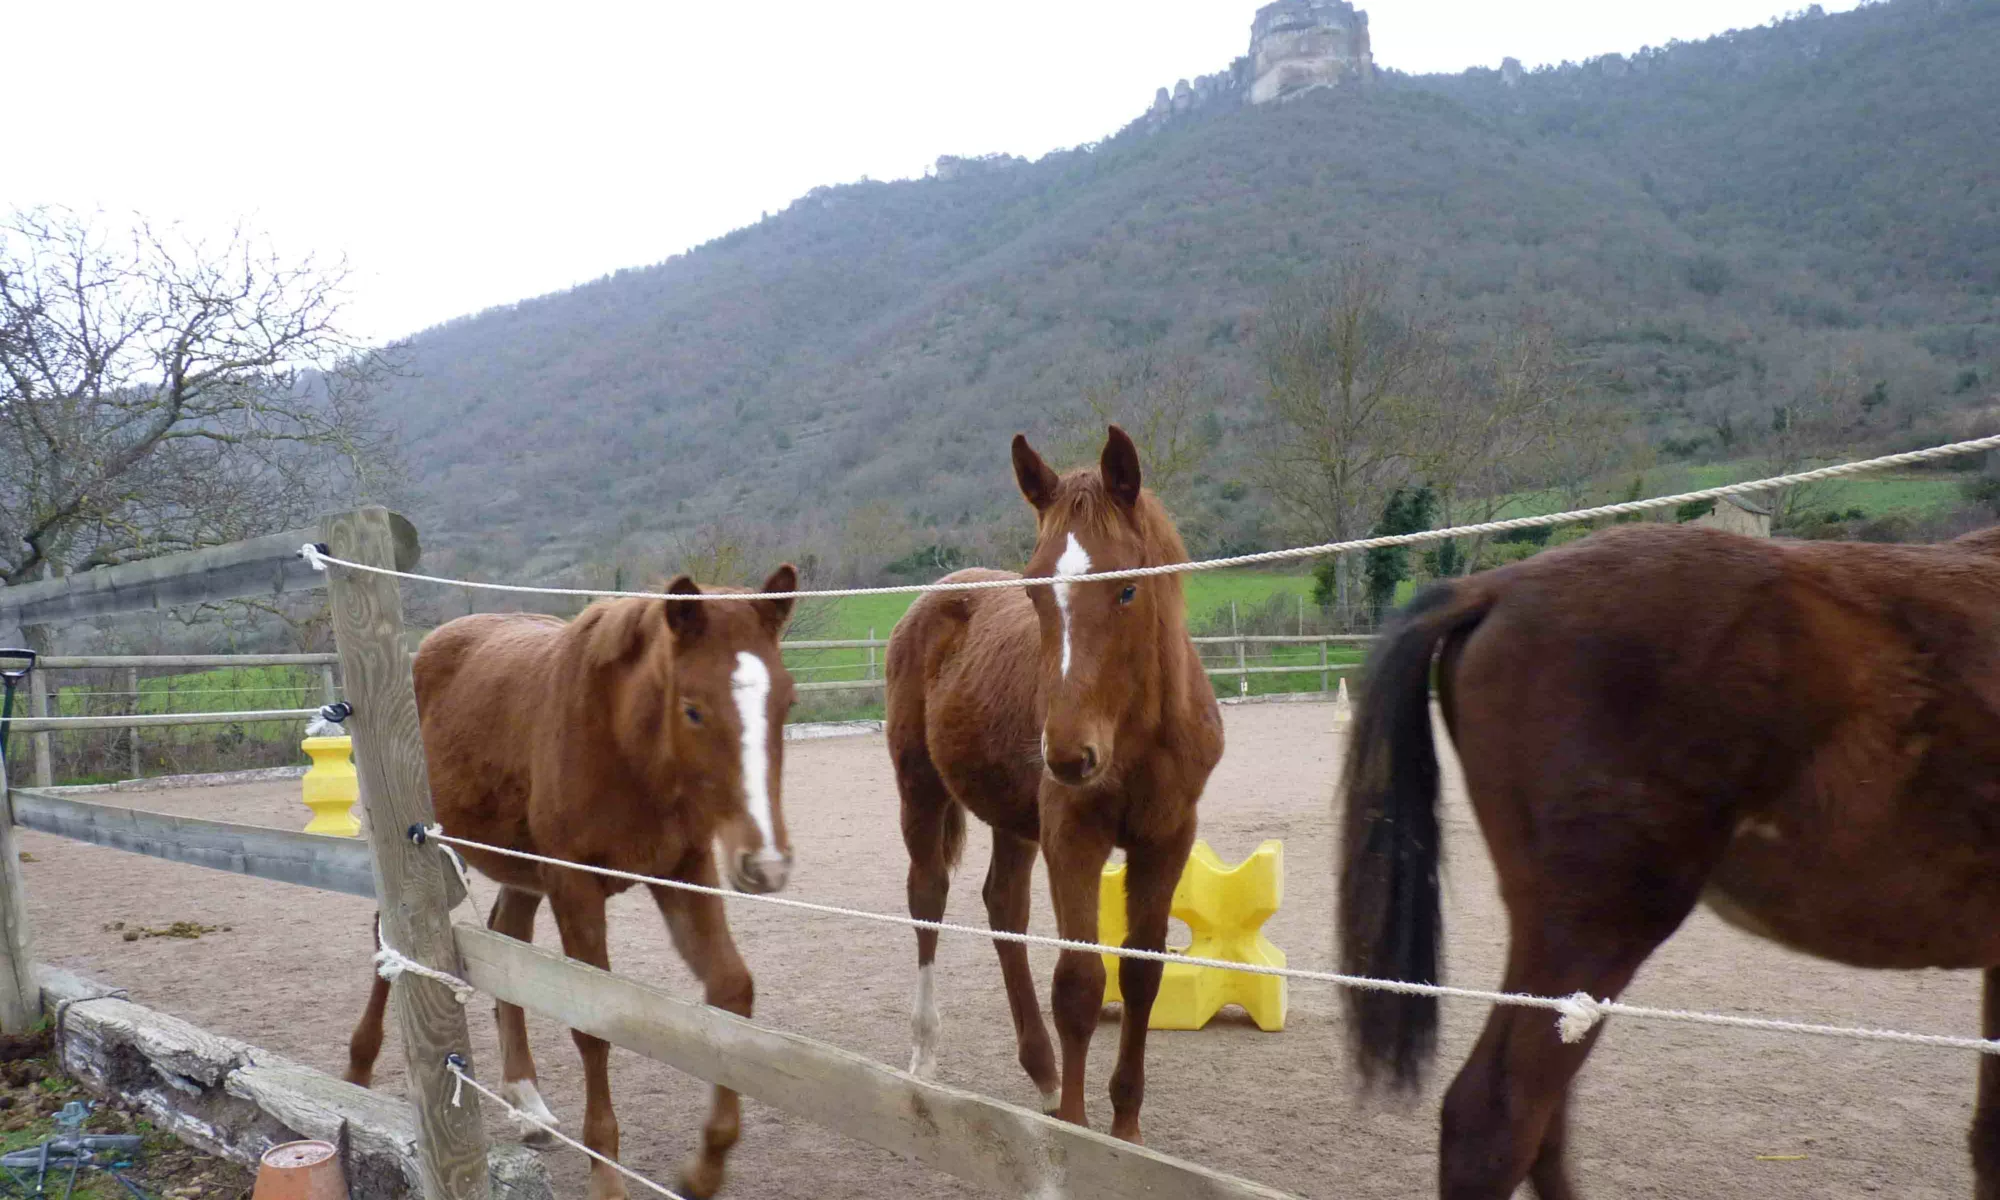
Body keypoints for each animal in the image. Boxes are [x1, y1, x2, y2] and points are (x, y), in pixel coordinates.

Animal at [345, 568, 800, 1200]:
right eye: (692, 710)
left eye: (787, 702)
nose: (766, 863)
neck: (623, 742)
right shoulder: (575, 884)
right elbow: (592, 1023)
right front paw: (606, 1177)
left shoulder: (684, 871)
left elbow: (731, 993)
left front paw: (703, 1169)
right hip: (440, 860)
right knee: (385, 932)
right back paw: (357, 1072)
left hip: (521, 871)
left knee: (508, 938)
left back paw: (526, 1101)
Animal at [885, 425, 1224, 1142]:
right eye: (1035, 589)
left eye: (1127, 590)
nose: (1068, 756)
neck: (1136, 736)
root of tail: (937, 593)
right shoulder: (1073, 835)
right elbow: (1079, 981)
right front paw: (1074, 1127)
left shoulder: (1169, 838)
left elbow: (1142, 971)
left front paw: (1127, 1131)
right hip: (920, 787)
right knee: (927, 898)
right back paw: (925, 1054)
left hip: (1013, 818)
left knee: (1003, 907)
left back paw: (1040, 1073)